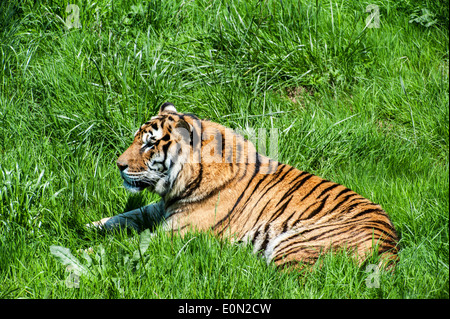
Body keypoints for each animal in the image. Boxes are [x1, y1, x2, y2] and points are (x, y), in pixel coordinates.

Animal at [89, 104, 400, 268]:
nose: (118, 165)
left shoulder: (175, 232)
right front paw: (92, 226)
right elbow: (127, 216)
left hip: (294, 244)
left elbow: (125, 245)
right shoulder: (162, 210)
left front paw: (87, 253)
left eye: (150, 144)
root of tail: (390, 246)